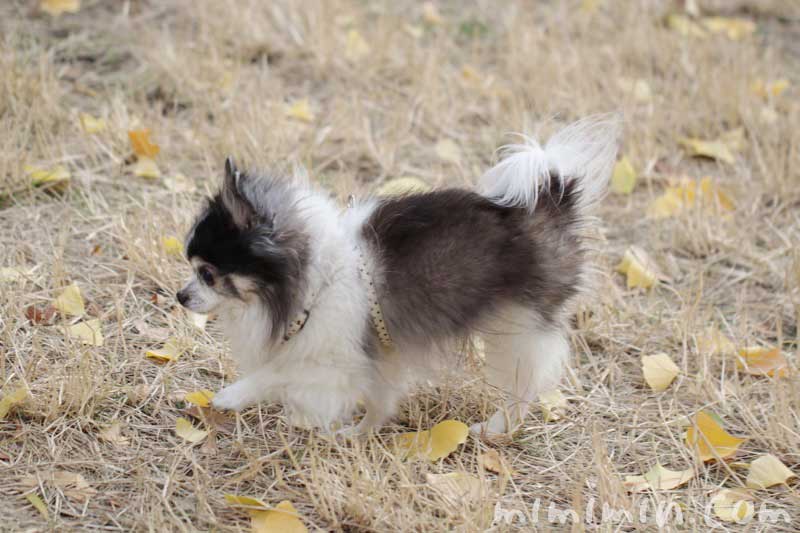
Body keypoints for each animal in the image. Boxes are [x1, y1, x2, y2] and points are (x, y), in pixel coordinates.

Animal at [178, 114, 620, 434]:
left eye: (208, 274)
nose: (180, 296)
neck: (317, 281)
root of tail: (551, 202)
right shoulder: (379, 357)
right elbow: (380, 400)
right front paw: (360, 433)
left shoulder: (336, 359)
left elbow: (277, 372)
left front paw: (233, 396)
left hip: (518, 331)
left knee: (525, 387)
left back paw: (494, 428)